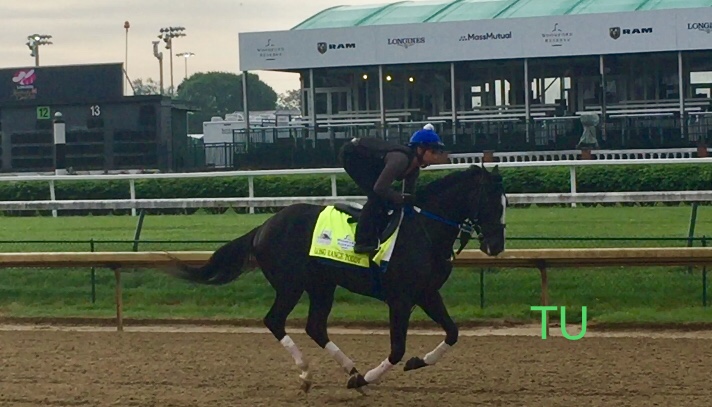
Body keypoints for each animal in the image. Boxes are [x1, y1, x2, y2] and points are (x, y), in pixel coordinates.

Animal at [165, 164, 506, 394]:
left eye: (504, 203)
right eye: (491, 201)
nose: (496, 246)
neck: (424, 231)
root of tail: (263, 226)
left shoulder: (427, 293)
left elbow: (453, 332)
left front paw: (415, 362)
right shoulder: (400, 299)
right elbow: (397, 348)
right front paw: (366, 378)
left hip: (322, 285)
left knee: (315, 326)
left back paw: (348, 368)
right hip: (291, 284)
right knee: (275, 320)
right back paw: (307, 374)